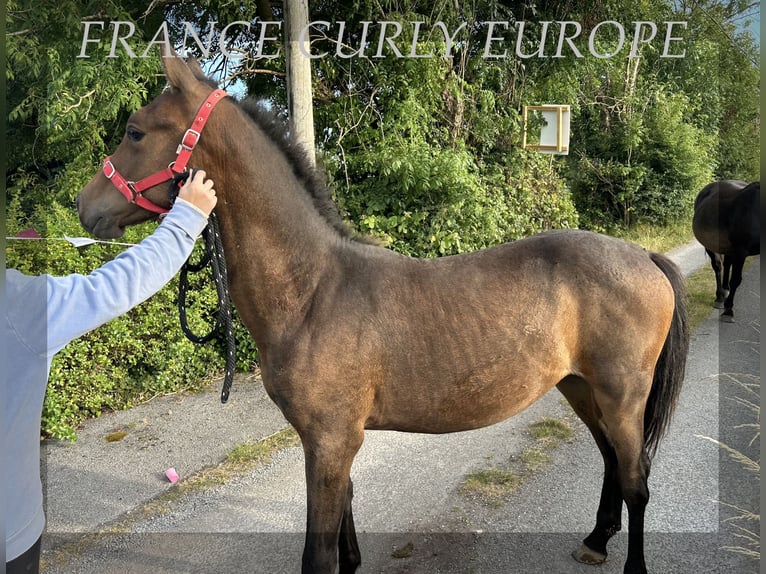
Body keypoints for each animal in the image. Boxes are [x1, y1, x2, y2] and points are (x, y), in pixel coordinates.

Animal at [76, 55, 688, 574]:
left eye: (135, 130)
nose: (86, 207)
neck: (312, 292)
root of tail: (644, 257)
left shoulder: (329, 441)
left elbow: (318, 554)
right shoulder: (330, 441)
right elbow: (344, 531)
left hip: (621, 395)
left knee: (637, 480)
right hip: (581, 387)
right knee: (611, 462)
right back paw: (595, 541)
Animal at [696, 180, 760, 322]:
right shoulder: (741, 252)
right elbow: (736, 279)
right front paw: (728, 311)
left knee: (726, 264)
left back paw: (725, 290)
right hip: (711, 245)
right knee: (718, 266)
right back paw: (720, 297)